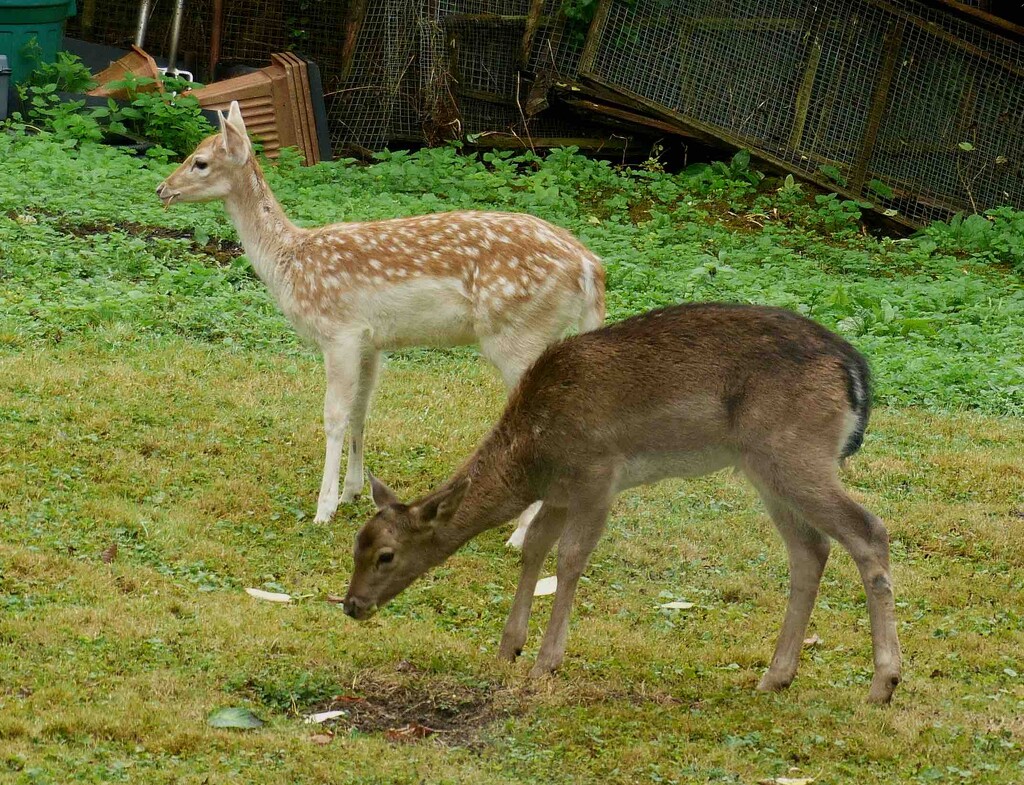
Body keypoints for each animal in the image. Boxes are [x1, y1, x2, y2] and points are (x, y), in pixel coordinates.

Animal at [155, 96, 602, 528]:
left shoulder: (338, 332)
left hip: (517, 333)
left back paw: (521, 531)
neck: (291, 265)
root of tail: (589, 266)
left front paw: (324, 509)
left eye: (200, 161)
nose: (162, 189)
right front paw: (353, 493)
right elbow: (360, 411)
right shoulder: (370, 342)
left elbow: (334, 415)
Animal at [339, 302, 901, 704]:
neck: (533, 458)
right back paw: (775, 677)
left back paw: (883, 685)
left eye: (385, 555)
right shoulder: (560, 493)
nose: (351, 606)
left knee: (868, 530)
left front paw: (547, 661)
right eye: (356, 545)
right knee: (810, 550)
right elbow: (534, 548)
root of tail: (856, 374)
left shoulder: (596, 474)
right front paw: (508, 647)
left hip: (794, 453)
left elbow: (570, 557)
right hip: (766, 467)